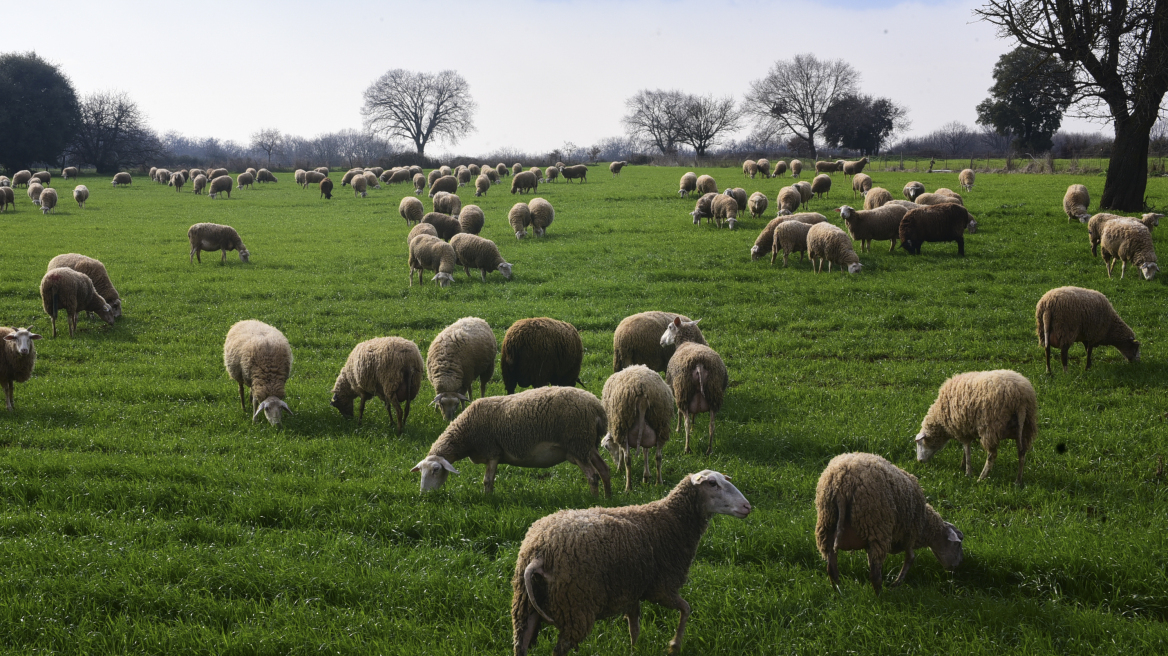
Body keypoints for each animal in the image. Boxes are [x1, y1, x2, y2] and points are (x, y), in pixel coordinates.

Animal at [411, 382, 612, 494]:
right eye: (420, 471)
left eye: (436, 470)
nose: (424, 495)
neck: (465, 434)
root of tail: (597, 408)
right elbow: (490, 480)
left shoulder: (492, 451)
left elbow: (487, 480)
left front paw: (488, 500)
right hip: (587, 445)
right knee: (604, 469)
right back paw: (607, 498)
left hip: (577, 442)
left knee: (592, 475)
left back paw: (592, 501)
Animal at [513, 466, 752, 653]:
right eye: (712, 483)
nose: (747, 507)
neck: (670, 520)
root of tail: (540, 553)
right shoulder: (661, 588)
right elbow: (686, 609)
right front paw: (674, 645)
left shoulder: (632, 590)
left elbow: (634, 628)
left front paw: (635, 649)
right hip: (576, 604)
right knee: (559, 649)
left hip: (526, 605)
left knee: (521, 644)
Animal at [817, 448, 962, 592]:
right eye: (958, 544)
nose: (957, 568)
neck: (925, 525)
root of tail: (842, 482)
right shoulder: (910, 534)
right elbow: (910, 558)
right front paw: (897, 583)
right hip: (876, 526)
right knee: (875, 575)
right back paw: (881, 595)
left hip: (827, 525)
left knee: (832, 568)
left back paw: (838, 591)